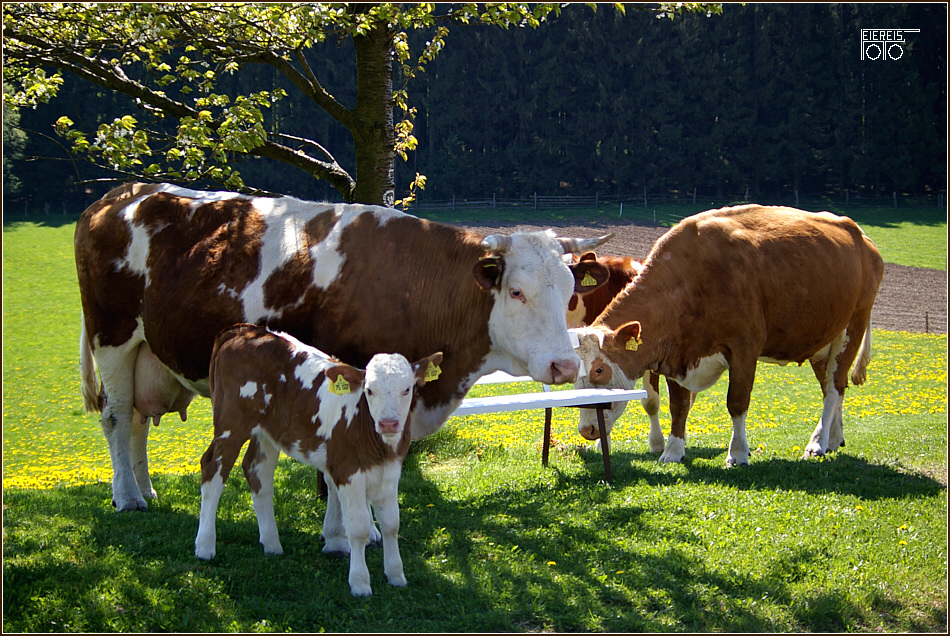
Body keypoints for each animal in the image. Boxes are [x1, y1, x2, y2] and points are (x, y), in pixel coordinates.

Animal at [196, 322, 446, 596]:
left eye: (407, 389)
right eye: (369, 390)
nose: (388, 422)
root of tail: (244, 330)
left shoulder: (391, 471)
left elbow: (392, 525)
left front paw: (396, 575)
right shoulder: (347, 471)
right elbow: (359, 528)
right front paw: (360, 582)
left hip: (267, 432)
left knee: (257, 470)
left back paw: (272, 544)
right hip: (231, 423)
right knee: (213, 469)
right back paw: (205, 545)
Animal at [576, 206, 888, 464]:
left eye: (600, 370)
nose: (587, 429)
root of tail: (861, 235)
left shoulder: (744, 348)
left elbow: (737, 402)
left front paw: (738, 452)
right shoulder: (675, 352)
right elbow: (679, 406)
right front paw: (673, 451)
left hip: (852, 328)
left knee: (834, 389)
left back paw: (818, 443)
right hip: (822, 340)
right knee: (833, 387)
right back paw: (834, 438)